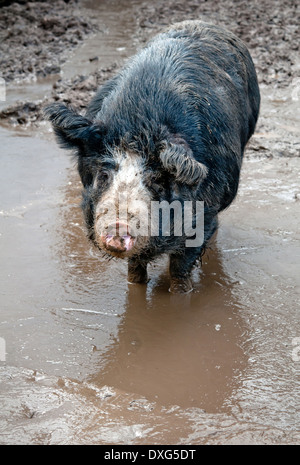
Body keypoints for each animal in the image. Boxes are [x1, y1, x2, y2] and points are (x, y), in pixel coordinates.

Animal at [45, 21, 260, 292]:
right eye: (103, 175)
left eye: (156, 180)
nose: (118, 226)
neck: (140, 125)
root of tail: (204, 22)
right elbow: (135, 270)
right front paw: (135, 286)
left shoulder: (205, 213)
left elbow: (180, 270)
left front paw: (181, 293)